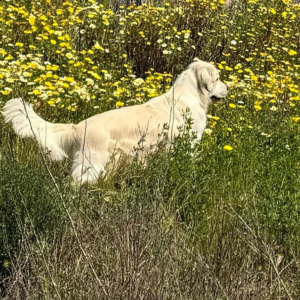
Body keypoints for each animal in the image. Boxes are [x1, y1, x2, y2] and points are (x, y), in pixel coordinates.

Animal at [1, 60, 227, 183]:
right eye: (217, 78)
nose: (228, 88)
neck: (189, 95)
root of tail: (78, 126)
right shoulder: (190, 145)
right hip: (92, 165)